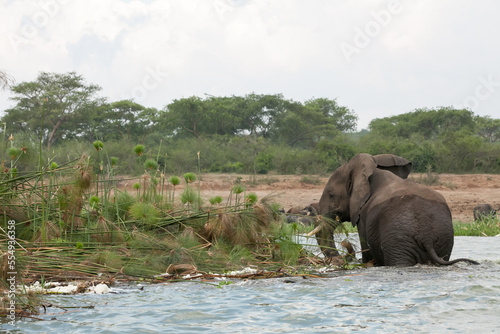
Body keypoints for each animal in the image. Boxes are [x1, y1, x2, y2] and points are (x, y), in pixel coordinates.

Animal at [318, 153, 478, 266]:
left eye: (331, 195)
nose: (341, 258)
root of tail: (426, 237)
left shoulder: (362, 217)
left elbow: (366, 250)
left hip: (398, 241)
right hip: (443, 238)